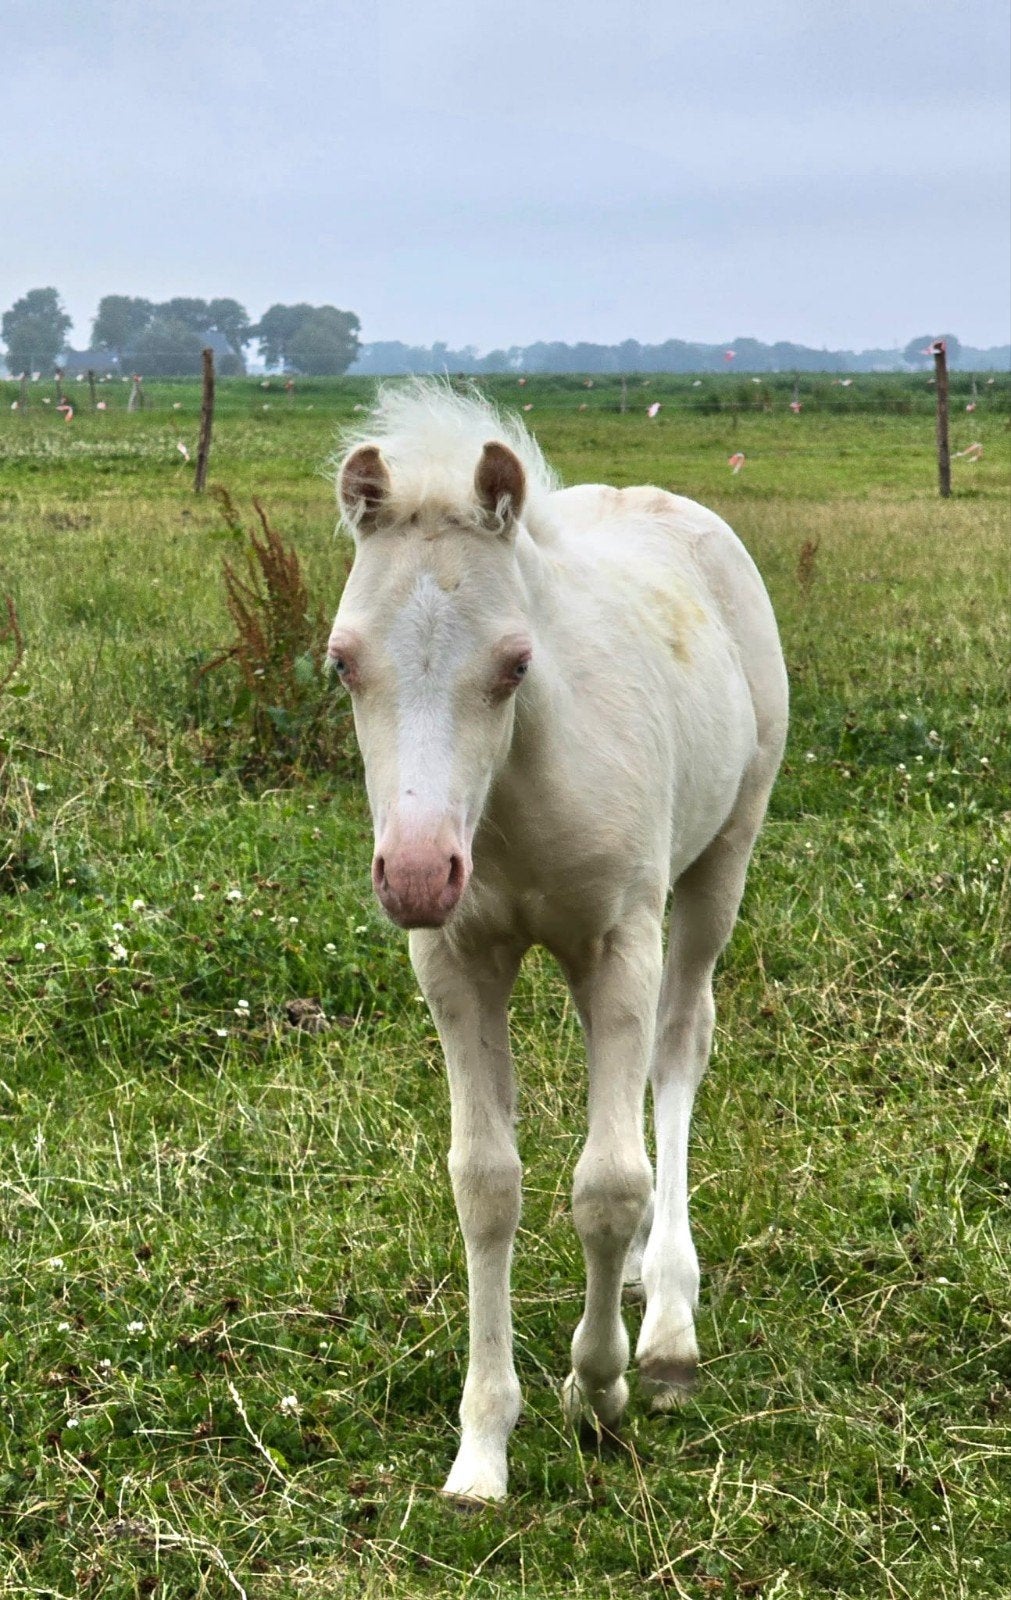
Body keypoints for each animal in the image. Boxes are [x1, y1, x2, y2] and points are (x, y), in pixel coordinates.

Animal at [327, 381, 788, 1501]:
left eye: (514, 662)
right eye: (342, 661)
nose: (415, 872)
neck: (516, 789)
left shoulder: (619, 938)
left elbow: (608, 1183)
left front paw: (602, 1386)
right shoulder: (455, 959)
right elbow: (486, 1183)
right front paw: (481, 1448)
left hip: (717, 865)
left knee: (677, 1048)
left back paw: (665, 1325)